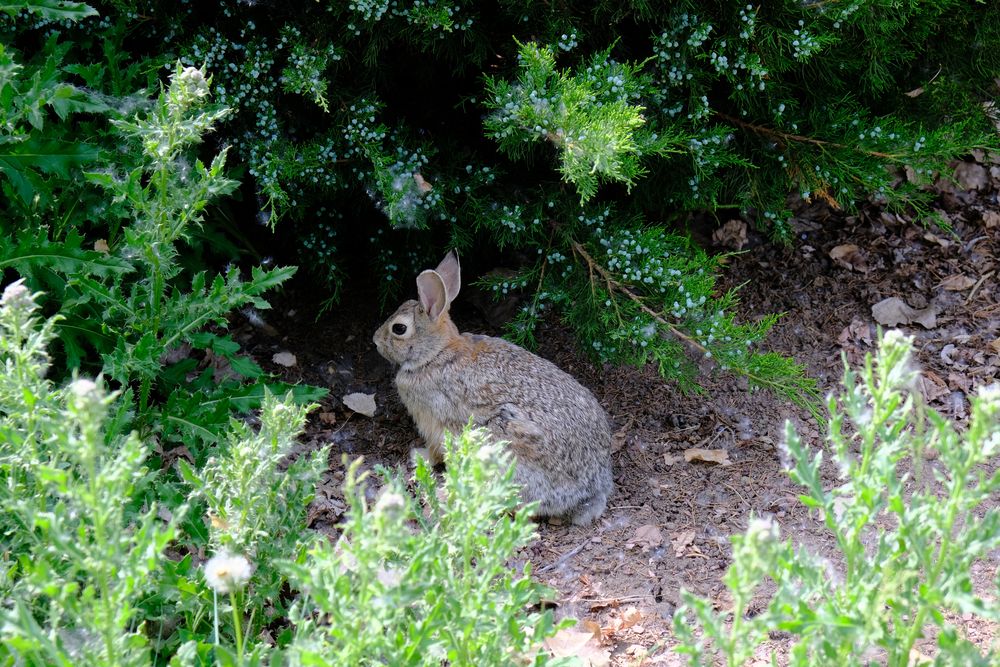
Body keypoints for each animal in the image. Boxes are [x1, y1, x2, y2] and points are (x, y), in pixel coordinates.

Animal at [373, 250, 613, 525]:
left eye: (399, 329)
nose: (375, 340)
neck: (436, 354)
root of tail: (591, 491)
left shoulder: (436, 422)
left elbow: (436, 451)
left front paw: (418, 456)